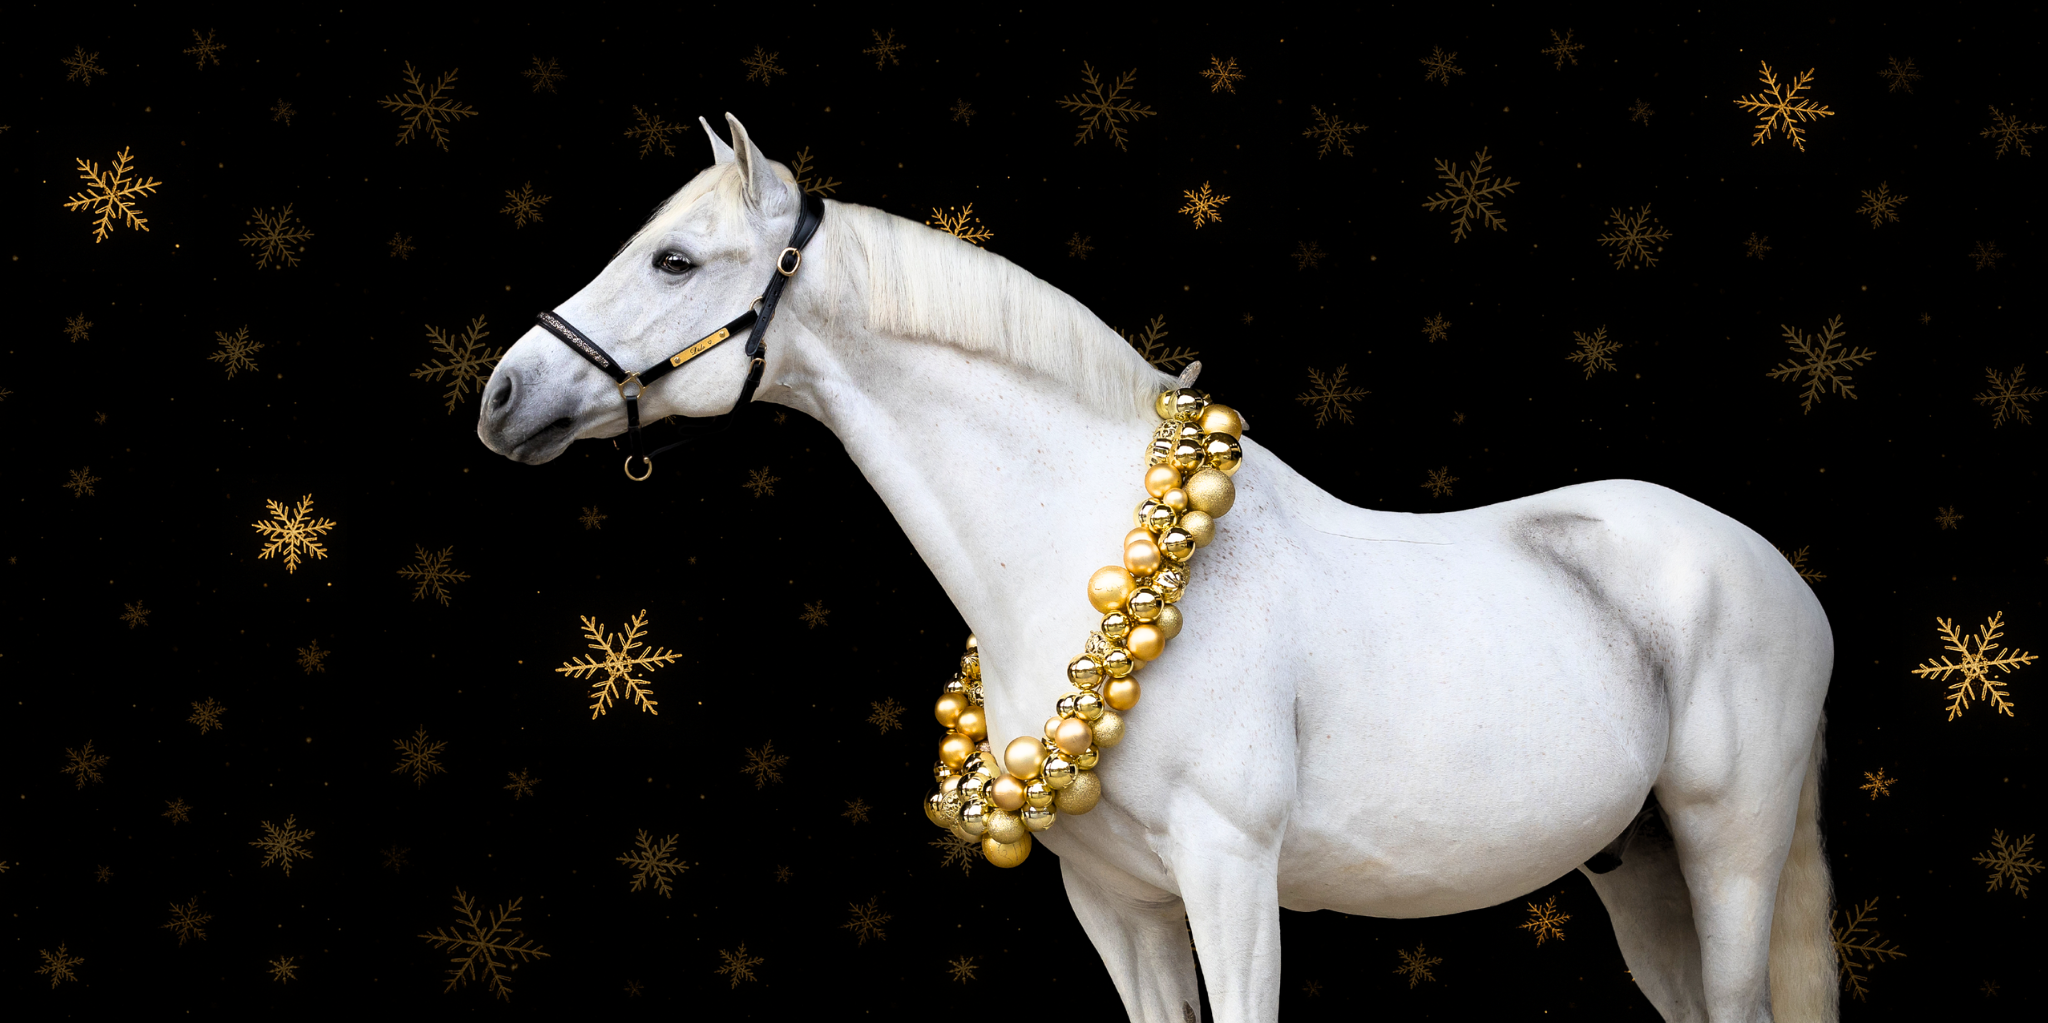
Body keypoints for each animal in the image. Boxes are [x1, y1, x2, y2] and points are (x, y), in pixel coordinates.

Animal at [476, 114, 1839, 1023]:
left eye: (674, 261)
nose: (503, 397)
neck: (1079, 557)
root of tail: (1772, 570)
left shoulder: (1229, 874)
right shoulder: (1115, 907)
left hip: (1727, 854)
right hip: (1637, 874)